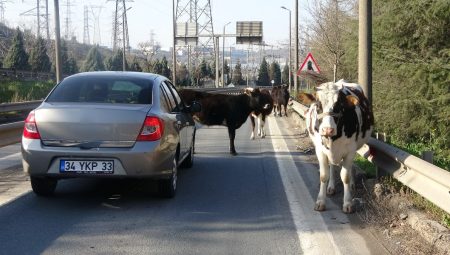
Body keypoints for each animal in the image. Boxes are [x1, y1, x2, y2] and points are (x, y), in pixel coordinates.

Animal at [298, 79, 372, 213]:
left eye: (339, 105)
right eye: (318, 105)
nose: (328, 130)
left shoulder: (350, 151)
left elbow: (345, 176)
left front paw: (348, 202)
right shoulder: (320, 151)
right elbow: (323, 175)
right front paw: (320, 201)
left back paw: (352, 185)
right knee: (332, 166)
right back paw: (331, 187)